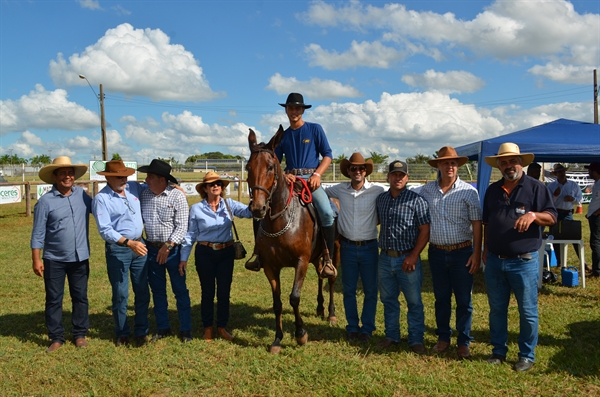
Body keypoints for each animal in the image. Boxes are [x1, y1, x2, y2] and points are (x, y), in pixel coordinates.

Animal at [244, 124, 338, 352]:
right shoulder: (270, 266)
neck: (282, 220)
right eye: (248, 167)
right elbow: (277, 303)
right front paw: (277, 339)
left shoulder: (300, 261)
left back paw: (331, 313)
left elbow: (294, 297)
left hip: (333, 252)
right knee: (320, 276)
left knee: (330, 278)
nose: (258, 208)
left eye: (270, 167)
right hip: (316, 257)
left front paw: (301, 334)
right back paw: (320, 307)